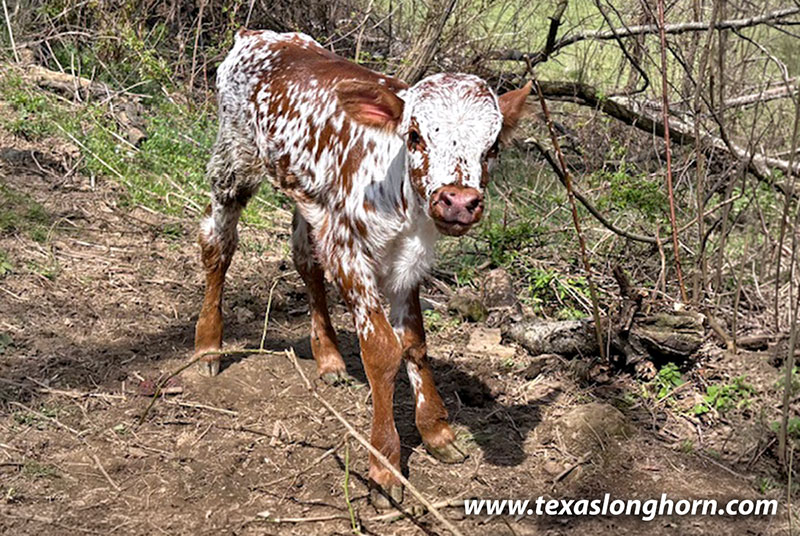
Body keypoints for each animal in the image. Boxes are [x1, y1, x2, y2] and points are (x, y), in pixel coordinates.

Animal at [194, 29, 531, 508]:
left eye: (494, 146)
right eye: (415, 136)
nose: (458, 201)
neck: (404, 203)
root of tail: (258, 34)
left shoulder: (405, 261)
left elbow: (414, 342)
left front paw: (436, 430)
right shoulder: (351, 252)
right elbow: (382, 350)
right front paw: (385, 463)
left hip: (310, 196)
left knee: (305, 258)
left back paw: (329, 358)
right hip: (234, 159)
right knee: (218, 242)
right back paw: (208, 347)